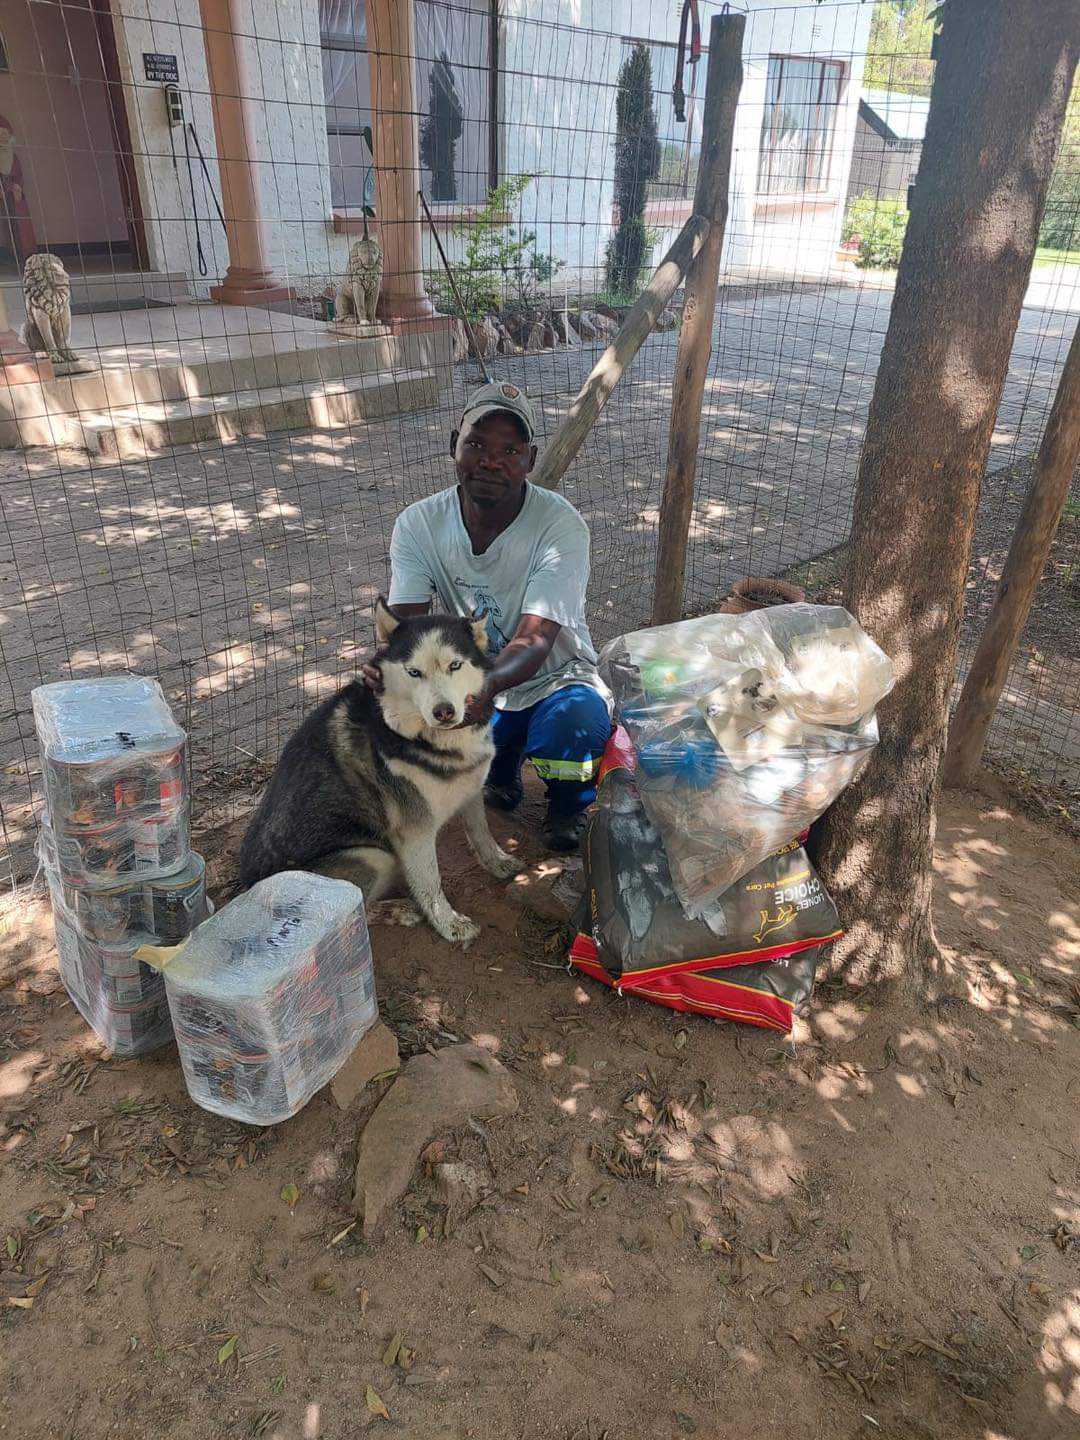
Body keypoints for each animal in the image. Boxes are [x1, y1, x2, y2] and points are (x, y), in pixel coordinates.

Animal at [240, 599, 524, 944]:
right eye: (414, 672)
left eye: (455, 665)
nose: (443, 712)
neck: (430, 739)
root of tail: (252, 890)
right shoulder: (414, 831)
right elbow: (431, 885)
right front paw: (449, 924)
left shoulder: (470, 789)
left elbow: (482, 833)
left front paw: (498, 862)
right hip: (374, 856)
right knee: (350, 910)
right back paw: (397, 910)